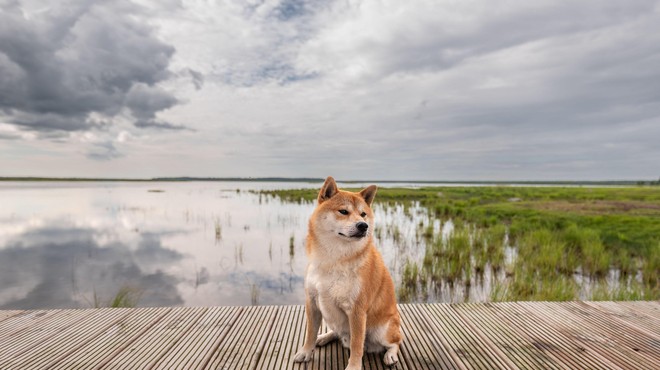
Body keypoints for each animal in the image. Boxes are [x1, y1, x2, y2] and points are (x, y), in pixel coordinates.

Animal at [294, 176, 402, 370]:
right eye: (343, 211)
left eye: (363, 214)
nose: (363, 226)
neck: (334, 259)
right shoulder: (312, 301)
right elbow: (310, 332)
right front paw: (306, 351)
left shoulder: (356, 310)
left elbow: (356, 344)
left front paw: (353, 366)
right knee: (337, 332)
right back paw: (325, 336)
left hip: (383, 330)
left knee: (396, 342)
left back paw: (391, 355)